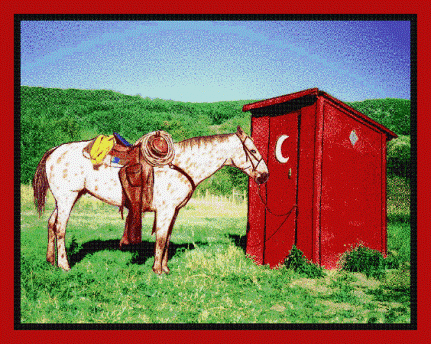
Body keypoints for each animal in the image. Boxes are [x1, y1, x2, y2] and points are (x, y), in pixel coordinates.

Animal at [33, 125, 268, 274]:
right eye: (253, 150)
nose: (264, 175)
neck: (180, 165)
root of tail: (54, 150)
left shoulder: (174, 211)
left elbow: (167, 238)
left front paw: (165, 268)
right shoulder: (165, 210)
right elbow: (162, 238)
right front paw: (157, 270)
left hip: (64, 199)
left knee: (51, 224)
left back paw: (50, 261)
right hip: (67, 197)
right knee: (60, 228)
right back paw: (64, 265)